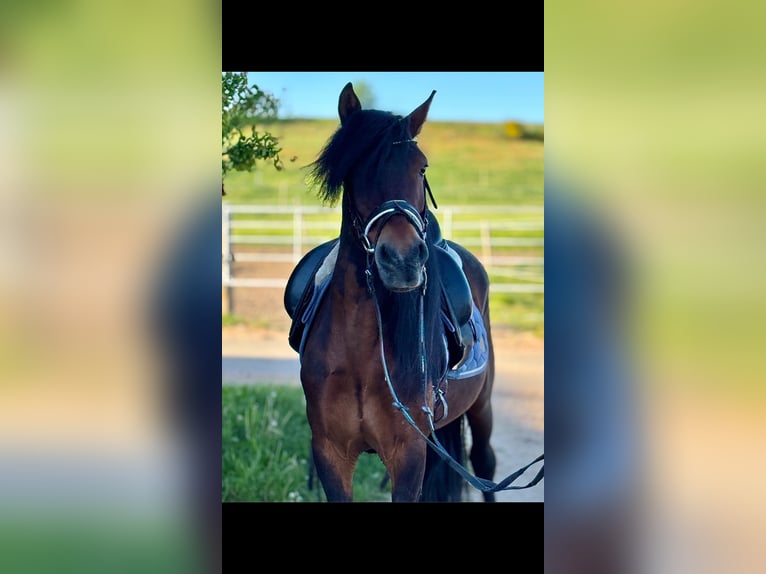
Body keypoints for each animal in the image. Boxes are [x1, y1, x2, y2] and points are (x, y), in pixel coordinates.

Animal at [285, 82, 497, 502]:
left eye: (422, 167)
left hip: (481, 407)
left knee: (485, 464)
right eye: (355, 167)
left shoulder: (408, 454)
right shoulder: (330, 453)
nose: (402, 260)